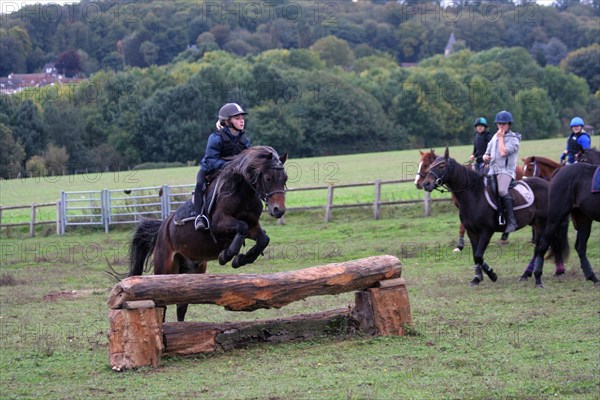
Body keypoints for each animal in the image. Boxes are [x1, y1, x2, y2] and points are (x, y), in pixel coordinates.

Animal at [121, 147, 286, 322]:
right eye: (268, 178)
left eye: (285, 179)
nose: (279, 210)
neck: (243, 192)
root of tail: (162, 227)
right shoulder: (219, 223)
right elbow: (241, 227)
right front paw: (227, 255)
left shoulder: (253, 226)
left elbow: (263, 239)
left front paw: (241, 259)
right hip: (164, 268)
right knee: (162, 305)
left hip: (191, 271)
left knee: (181, 306)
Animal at [420, 148, 564, 286]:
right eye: (430, 165)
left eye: (442, 165)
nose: (425, 184)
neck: (474, 194)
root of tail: (548, 184)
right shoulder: (472, 232)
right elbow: (475, 255)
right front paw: (477, 278)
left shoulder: (486, 231)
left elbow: (478, 255)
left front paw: (491, 274)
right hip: (535, 223)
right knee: (538, 248)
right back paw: (526, 274)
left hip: (541, 224)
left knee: (540, 248)